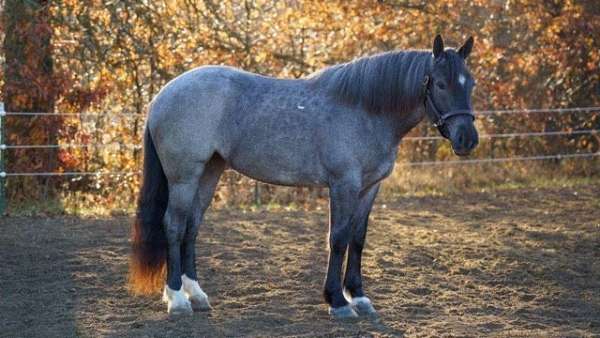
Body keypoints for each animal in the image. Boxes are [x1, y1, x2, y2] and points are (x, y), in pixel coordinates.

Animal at [130, 35, 478, 320]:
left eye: (470, 84)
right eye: (441, 84)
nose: (467, 139)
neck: (366, 110)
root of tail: (162, 95)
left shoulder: (369, 188)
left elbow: (358, 239)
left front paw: (359, 298)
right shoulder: (343, 184)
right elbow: (338, 239)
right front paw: (338, 302)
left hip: (208, 172)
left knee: (192, 227)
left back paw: (197, 295)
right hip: (184, 177)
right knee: (174, 226)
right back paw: (177, 300)